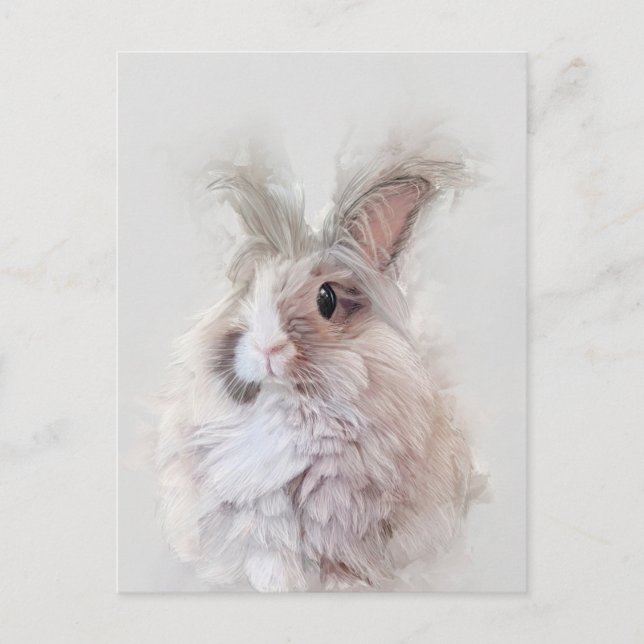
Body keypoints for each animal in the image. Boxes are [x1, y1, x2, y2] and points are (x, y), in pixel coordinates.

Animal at [155, 156, 474, 592]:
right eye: (248, 291)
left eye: (327, 299)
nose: (266, 348)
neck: (292, 404)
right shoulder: (256, 519)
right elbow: (267, 558)